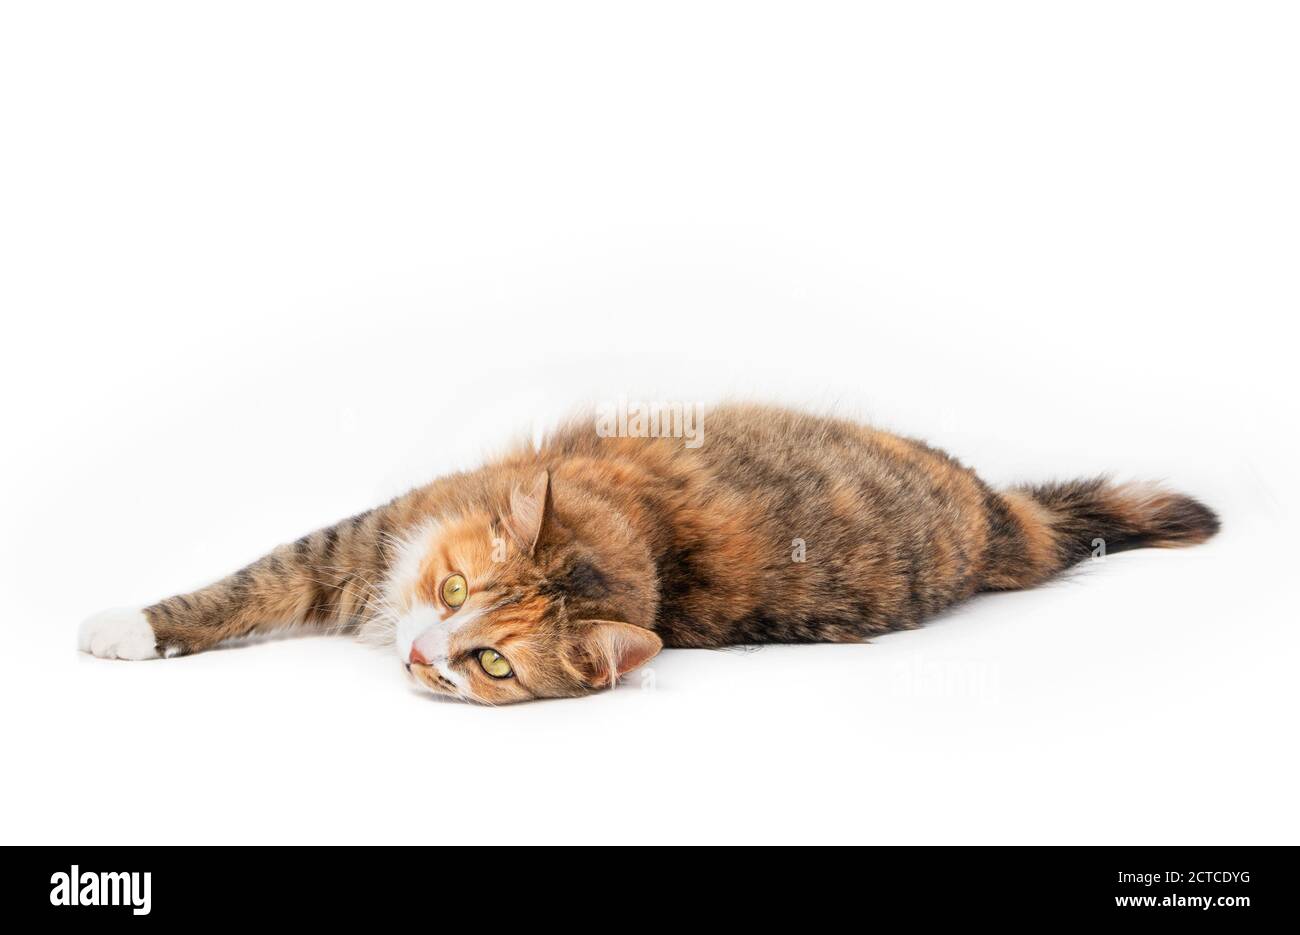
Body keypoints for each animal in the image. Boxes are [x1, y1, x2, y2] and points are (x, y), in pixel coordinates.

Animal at [81, 405, 1216, 707]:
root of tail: (995, 523)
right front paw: (122, 626)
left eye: (492, 660)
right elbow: (239, 586)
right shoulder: (364, 543)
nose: (419, 652)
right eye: (453, 585)